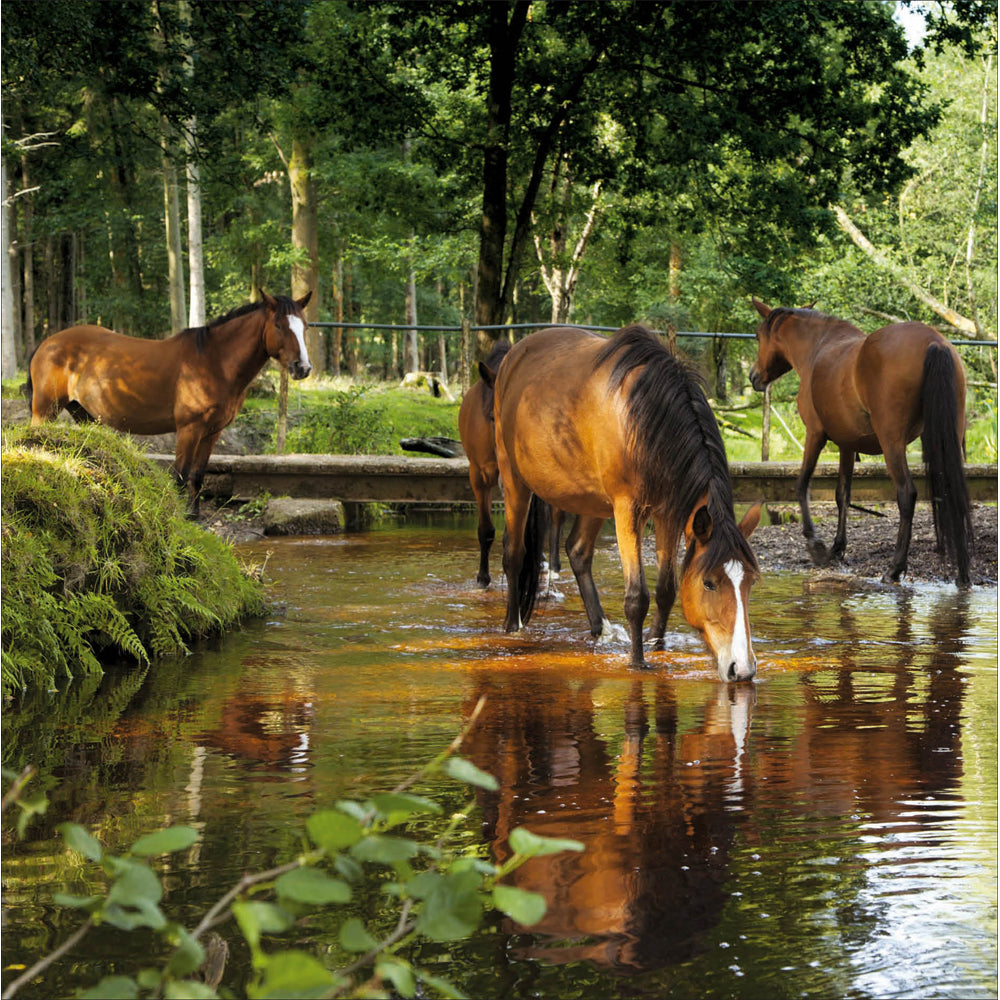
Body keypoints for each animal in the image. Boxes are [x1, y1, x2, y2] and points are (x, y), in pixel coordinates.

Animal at [26, 288, 312, 512]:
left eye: (305, 327)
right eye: (279, 325)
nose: (303, 368)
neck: (214, 362)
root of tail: (47, 344)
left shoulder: (213, 432)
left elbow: (197, 475)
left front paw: (194, 517)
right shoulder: (189, 429)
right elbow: (180, 477)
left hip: (82, 413)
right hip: (45, 410)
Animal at [484, 322, 756, 680]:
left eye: (749, 582)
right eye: (709, 583)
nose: (743, 668)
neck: (646, 417)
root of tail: (513, 359)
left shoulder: (667, 512)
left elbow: (666, 589)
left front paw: (657, 643)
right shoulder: (628, 509)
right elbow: (637, 595)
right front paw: (638, 660)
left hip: (591, 500)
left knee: (578, 551)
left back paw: (599, 627)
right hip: (515, 480)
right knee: (514, 553)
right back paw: (512, 626)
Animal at [752, 300, 968, 588]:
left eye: (758, 336)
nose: (754, 377)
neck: (818, 346)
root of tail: (934, 341)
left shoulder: (815, 435)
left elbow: (802, 484)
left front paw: (815, 544)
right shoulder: (847, 445)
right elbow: (842, 494)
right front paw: (837, 548)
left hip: (892, 444)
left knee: (906, 495)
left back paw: (894, 569)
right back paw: (963, 574)